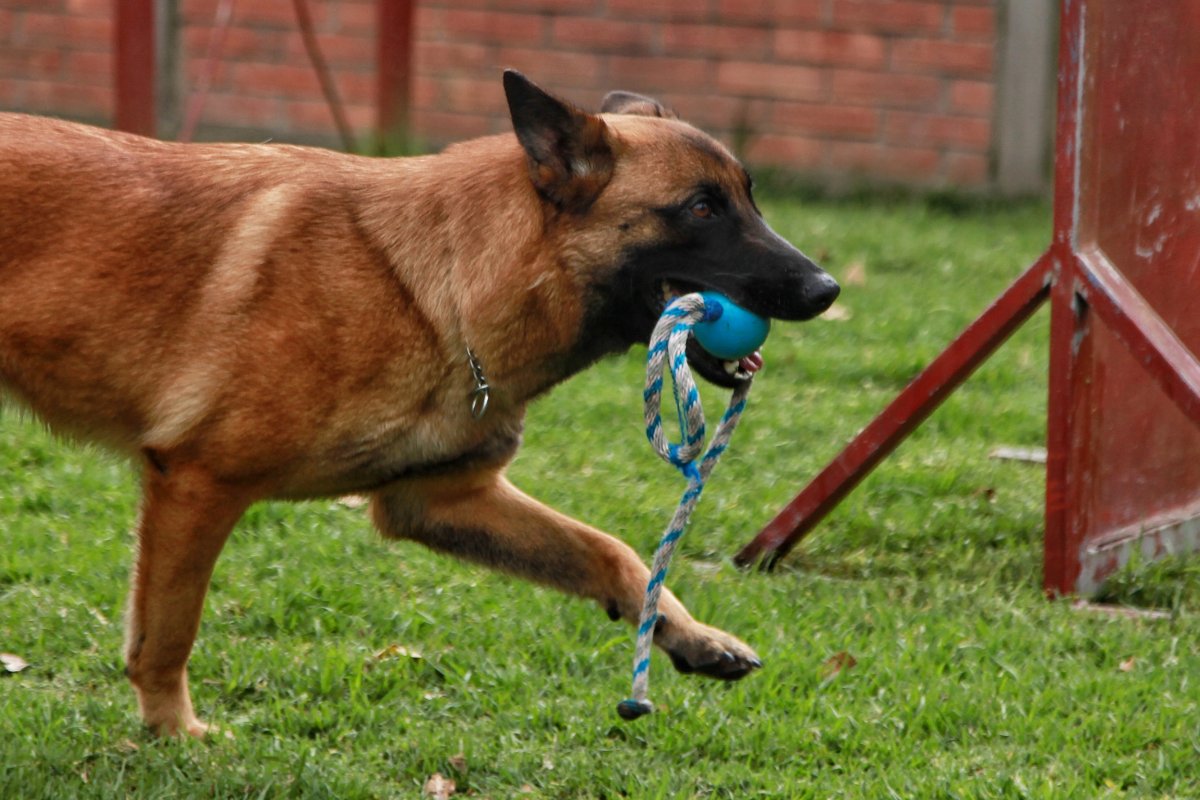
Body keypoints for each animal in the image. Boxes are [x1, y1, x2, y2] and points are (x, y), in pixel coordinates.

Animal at [0, 71, 840, 734]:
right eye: (700, 208)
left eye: (750, 199)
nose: (827, 289)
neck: (435, 287)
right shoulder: (199, 485)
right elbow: (167, 632)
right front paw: (173, 733)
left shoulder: (442, 498)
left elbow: (612, 551)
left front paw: (693, 636)